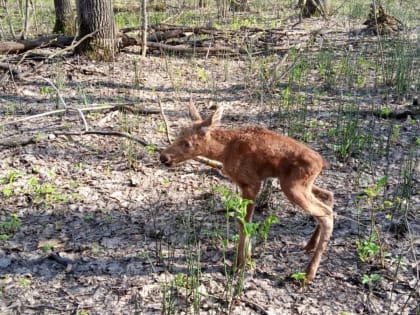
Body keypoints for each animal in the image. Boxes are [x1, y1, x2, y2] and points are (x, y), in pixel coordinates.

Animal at [159, 104, 334, 284]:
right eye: (177, 135)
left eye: (187, 143)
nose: (163, 157)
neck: (224, 152)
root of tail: (322, 162)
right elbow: (245, 222)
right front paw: (247, 258)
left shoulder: (251, 183)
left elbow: (243, 224)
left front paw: (238, 264)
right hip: (299, 183)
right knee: (328, 195)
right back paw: (310, 245)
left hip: (293, 186)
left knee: (327, 214)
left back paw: (308, 273)